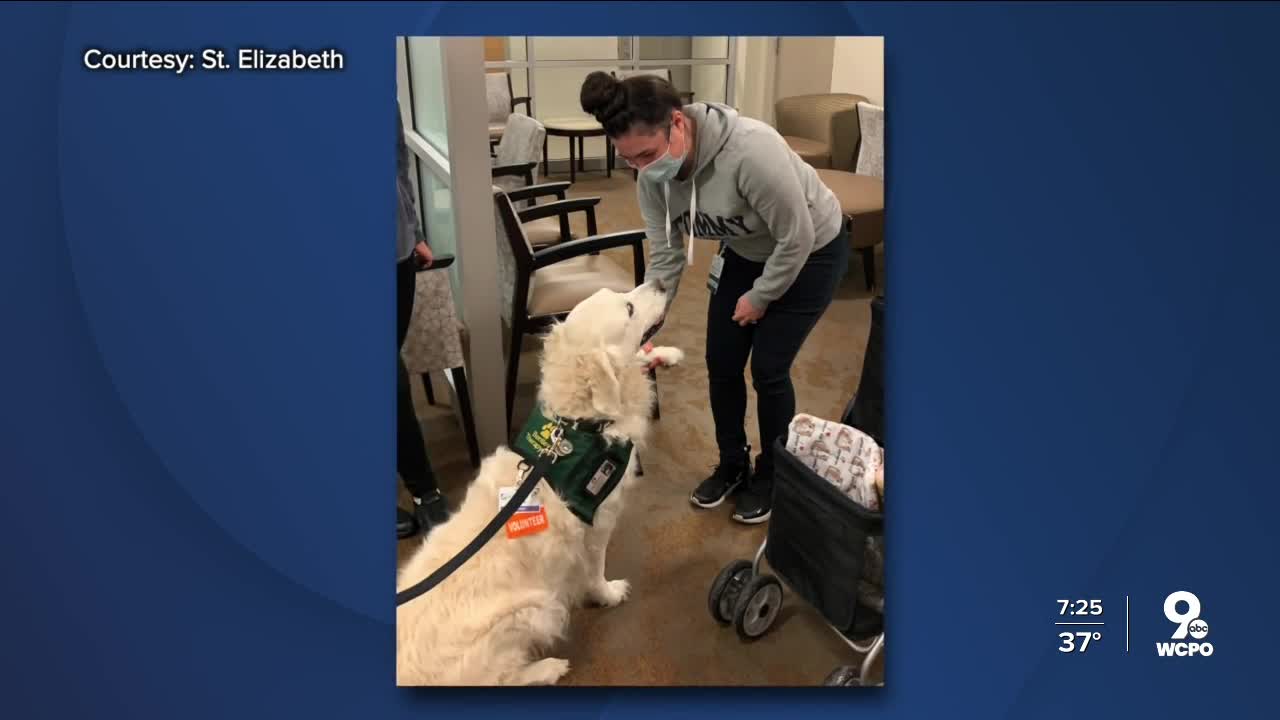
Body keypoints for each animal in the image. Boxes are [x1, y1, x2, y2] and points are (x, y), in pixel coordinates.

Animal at [396, 280, 680, 681]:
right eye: (628, 308)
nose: (659, 282)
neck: (580, 425)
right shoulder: (598, 524)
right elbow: (595, 571)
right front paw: (608, 594)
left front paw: (667, 355)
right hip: (533, 609)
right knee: (503, 679)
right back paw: (548, 667)